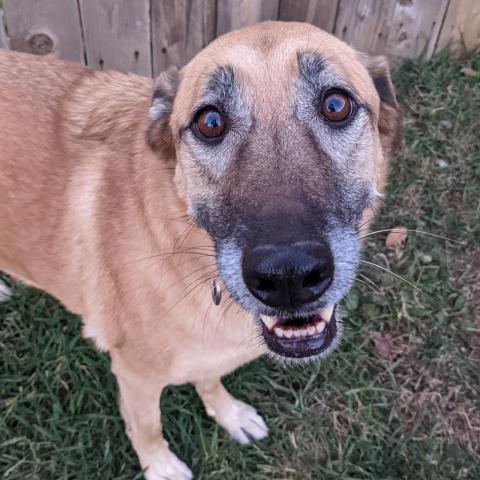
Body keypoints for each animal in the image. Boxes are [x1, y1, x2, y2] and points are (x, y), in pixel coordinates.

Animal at [0, 21, 400, 476]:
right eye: (210, 122)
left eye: (335, 105)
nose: (289, 275)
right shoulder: (135, 374)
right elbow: (148, 427)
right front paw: (160, 466)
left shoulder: (209, 353)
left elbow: (209, 379)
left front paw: (227, 413)